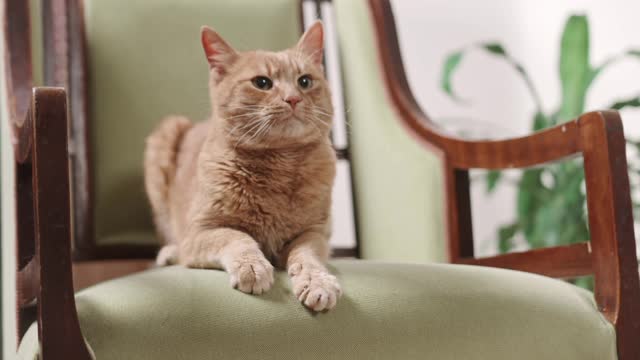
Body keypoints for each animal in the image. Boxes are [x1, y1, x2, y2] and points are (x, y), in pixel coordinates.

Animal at [143, 21, 342, 310]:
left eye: (304, 81)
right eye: (262, 83)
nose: (293, 98)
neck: (281, 163)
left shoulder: (315, 233)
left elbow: (308, 256)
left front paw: (318, 282)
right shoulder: (201, 232)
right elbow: (237, 237)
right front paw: (252, 266)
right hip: (165, 135)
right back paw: (169, 253)